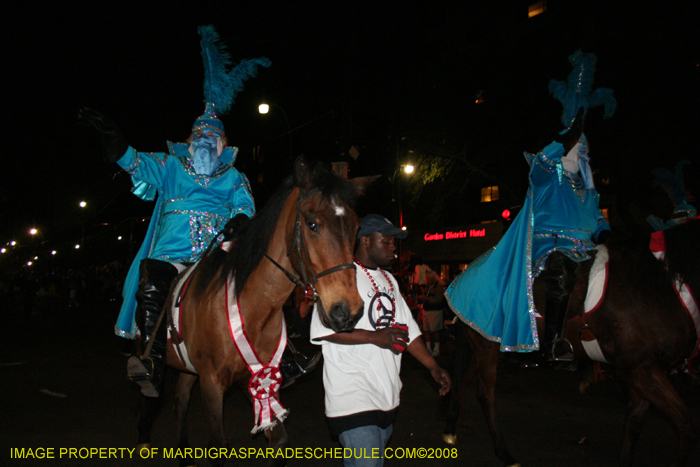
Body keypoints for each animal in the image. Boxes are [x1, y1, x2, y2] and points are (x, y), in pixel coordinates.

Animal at [134, 158, 370, 467]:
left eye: (355, 227)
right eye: (312, 224)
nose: (348, 310)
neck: (253, 309)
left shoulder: (261, 378)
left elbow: (279, 441)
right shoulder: (212, 382)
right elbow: (218, 446)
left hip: (189, 368)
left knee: (181, 400)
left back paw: (184, 454)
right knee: (152, 392)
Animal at [442, 220, 700, 467]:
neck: (659, 285)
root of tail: (461, 276)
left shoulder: (645, 371)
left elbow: (635, 423)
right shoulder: (640, 369)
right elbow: (687, 426)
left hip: (485, 344)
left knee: (463, 382)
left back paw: (451, 428)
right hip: (487, 347)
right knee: (485, 394)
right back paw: (504, 453)